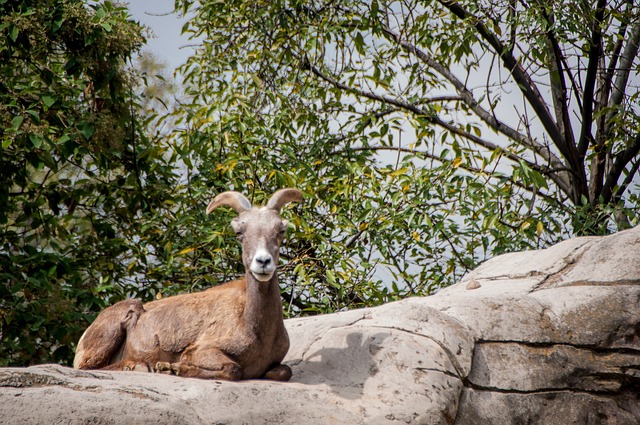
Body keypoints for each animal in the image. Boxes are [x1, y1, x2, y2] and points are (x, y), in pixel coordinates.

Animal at [72, 187, 302, 380]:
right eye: (240, 233)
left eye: (280, 230)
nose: (263, 262)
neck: (256, 328)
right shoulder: (202, 351)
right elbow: (233, 369)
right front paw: (171, 368)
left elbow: (284, 371)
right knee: (89, 367)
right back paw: (139, 366)